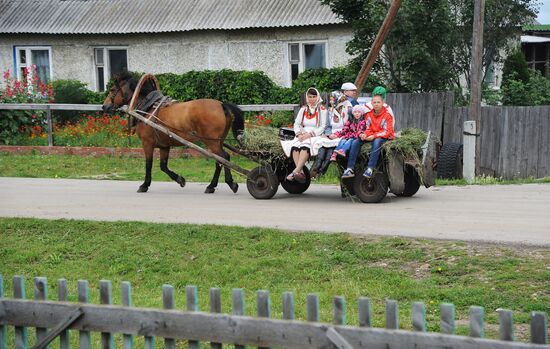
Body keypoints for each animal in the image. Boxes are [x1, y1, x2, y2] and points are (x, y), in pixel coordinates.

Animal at [102, 72, 245, 194]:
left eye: (112, 90)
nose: (104, 106)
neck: (148, 109)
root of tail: (221, 105)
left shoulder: (147, 143)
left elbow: (149, 164)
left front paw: (144, 185)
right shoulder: (164, 145)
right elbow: (163, 166)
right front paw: (180, 180)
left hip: (212, 142)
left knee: (223, 158)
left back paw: (221, 185)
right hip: (218, 141)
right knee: (222, 160)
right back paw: (220, 185)